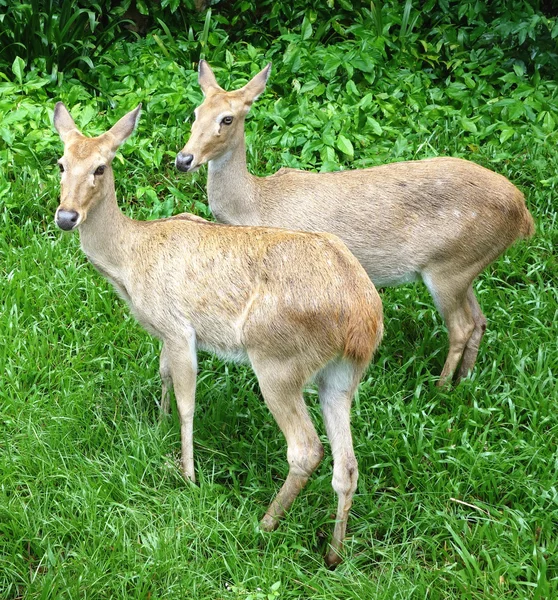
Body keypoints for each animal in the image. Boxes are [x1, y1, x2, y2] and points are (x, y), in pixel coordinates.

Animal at [52, 102, 384, 568]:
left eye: (101, 167)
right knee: (347, 464)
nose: (66, 216)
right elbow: (163, 375)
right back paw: (333, 554)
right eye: (61, 163)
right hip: (341, 376)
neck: (130, 260)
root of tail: (364, 319)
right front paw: (157, 428)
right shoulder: (163, 334)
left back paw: (264, 524)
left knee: (305, 448)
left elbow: (188, 401)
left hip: (278, 359)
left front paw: (187, 476)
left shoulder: (177, 327)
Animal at [178, 61, 540, 386]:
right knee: (480, 320)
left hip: (449, 267)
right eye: (195, 112)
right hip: (467, 266)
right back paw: (463, 382)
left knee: (462, 327)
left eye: (227, 118)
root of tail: (523, 213)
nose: (184, 159)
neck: (255, 204)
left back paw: (439, 389)